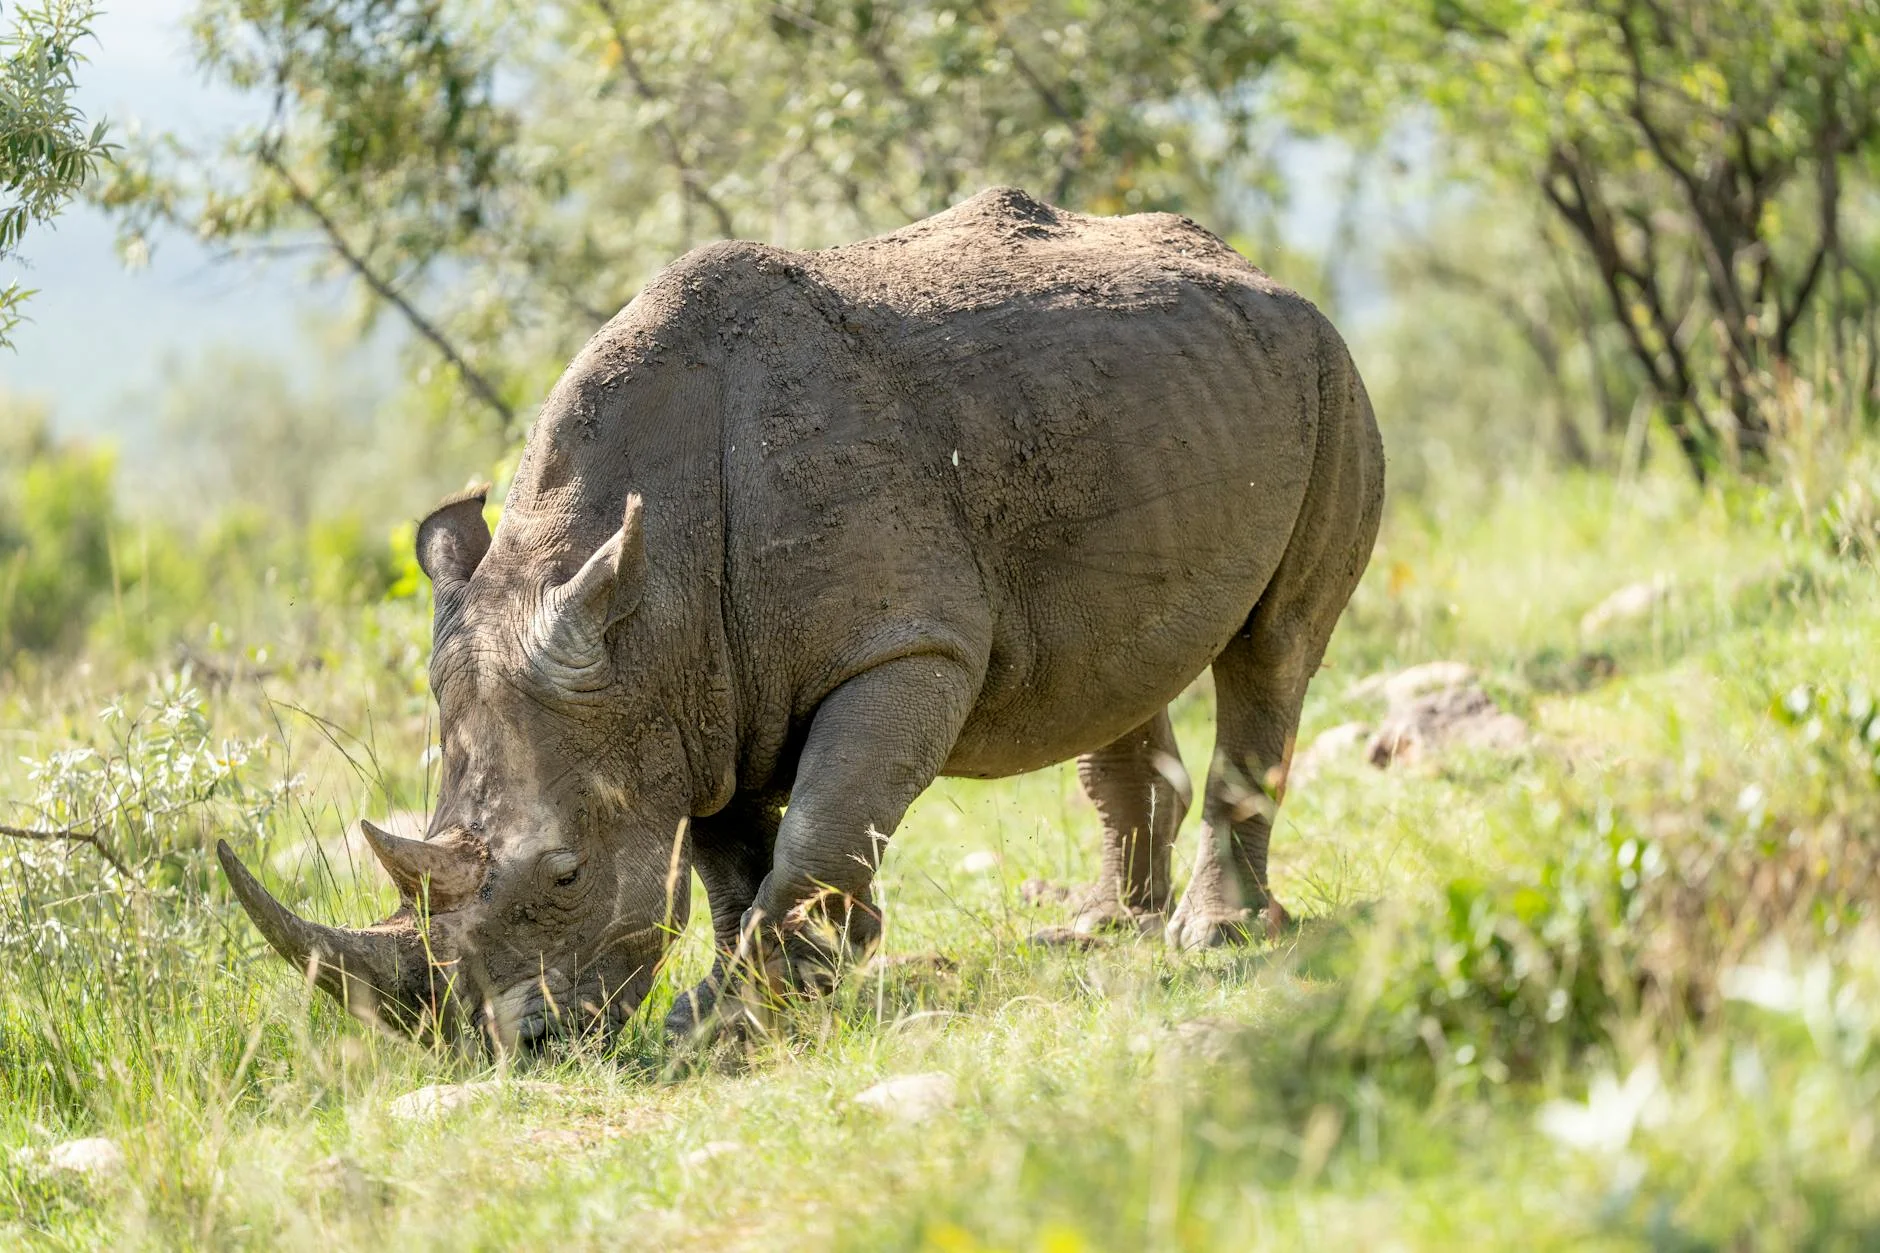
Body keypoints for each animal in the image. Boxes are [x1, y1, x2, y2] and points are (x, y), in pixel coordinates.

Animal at [218, 188, 1384, 1049]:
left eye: (564, 873)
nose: (511, 1049)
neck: (645, 595)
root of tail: (1267, 274)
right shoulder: (686, 696)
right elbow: (732, 859)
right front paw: (761, 993)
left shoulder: (901, 644)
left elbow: (819, 825)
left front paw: (730, 1014)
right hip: (1163, 396)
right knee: (1113, 670)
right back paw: (1097, 931)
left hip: (1330, 378)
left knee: (1273, 648)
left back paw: (1210, 937)